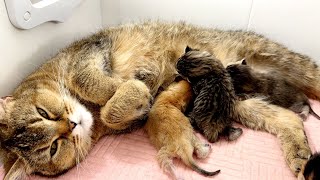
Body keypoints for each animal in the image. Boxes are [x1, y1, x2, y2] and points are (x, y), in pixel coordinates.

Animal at [0, 20, 320, 179]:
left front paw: (128, 87)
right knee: (288, 118)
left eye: (43, 112)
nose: (71, 124)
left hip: (290, 65)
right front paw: (131, 94)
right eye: (53, 148)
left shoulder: (90, 49)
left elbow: (90, 82)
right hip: (234, 98)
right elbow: (112, 114)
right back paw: (299, 155)